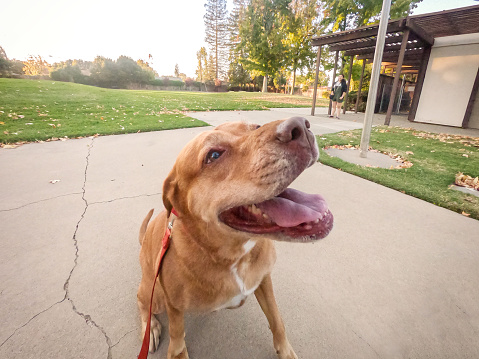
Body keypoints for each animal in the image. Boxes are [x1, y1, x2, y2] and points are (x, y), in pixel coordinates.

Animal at [138, 116, 334, 358]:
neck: (233, 256)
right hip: (154, 295)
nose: (300, 126)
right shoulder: (174, 309)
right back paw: (151, 328)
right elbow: (177, 345)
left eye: (256, 127)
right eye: (213, 155)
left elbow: (277, 320)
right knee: (141, 303)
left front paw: (285, 350)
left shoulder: (264, 280)